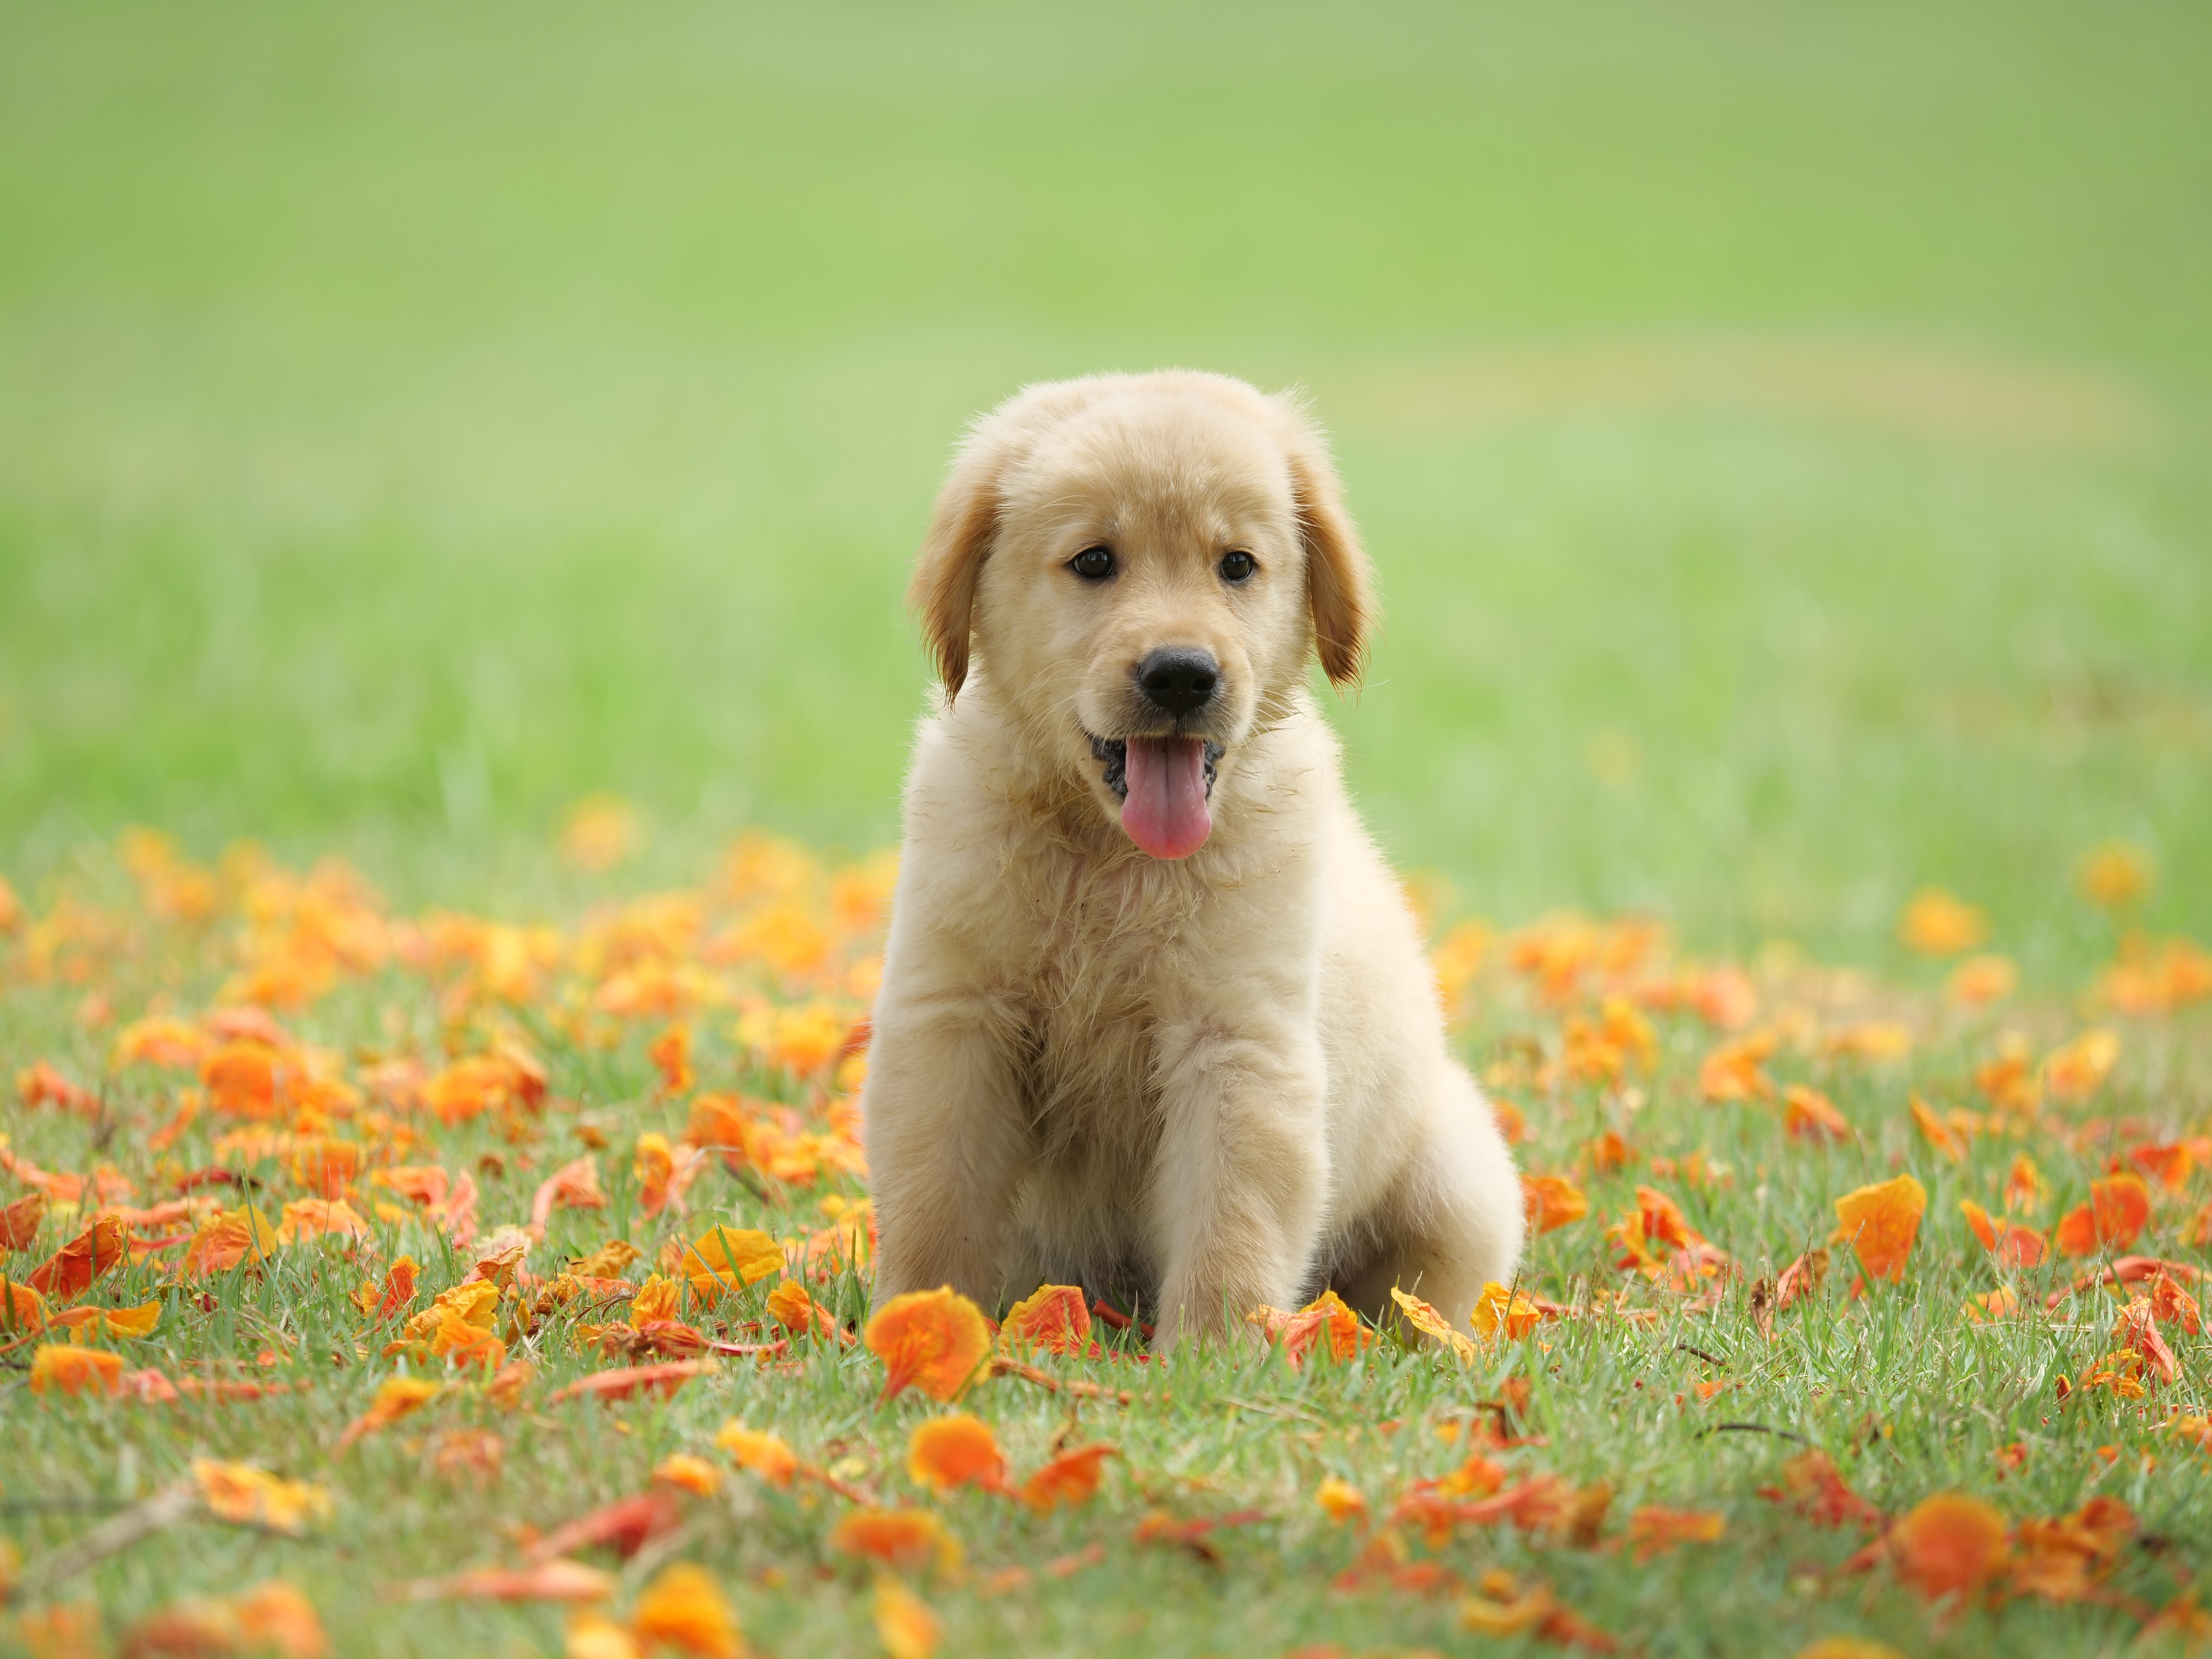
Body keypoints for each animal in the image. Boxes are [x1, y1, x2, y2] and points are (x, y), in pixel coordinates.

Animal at [862, 374, 1522, 1353]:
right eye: (1095, 561)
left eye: (1237, 566)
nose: (1181, 675)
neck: (1110, 854)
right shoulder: (953, 1019)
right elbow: (933, 1198)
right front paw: (924, 1322)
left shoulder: (1238, 1043)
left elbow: (1231, 1222)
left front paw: (1212, 1359)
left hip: (1458, 1175)